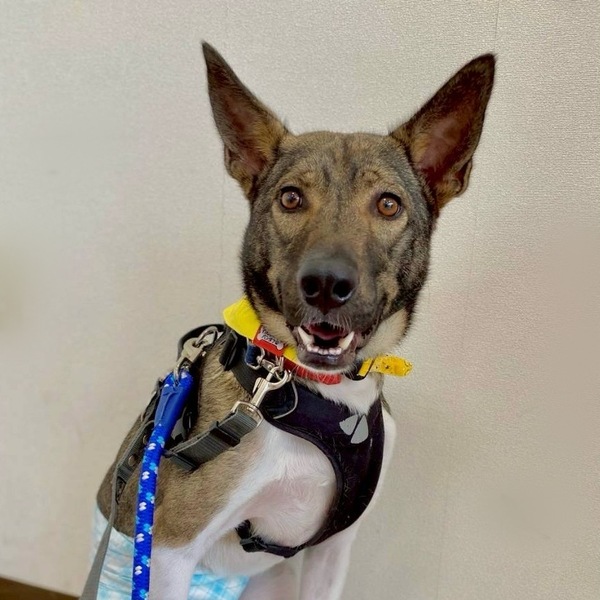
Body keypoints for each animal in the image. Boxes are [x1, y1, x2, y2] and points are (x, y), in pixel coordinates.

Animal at [90, 44, 494, 600]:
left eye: (388, 204)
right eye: (290, 198)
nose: (325, 284)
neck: (322, 395)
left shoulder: (334, 546)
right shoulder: (172, 548)